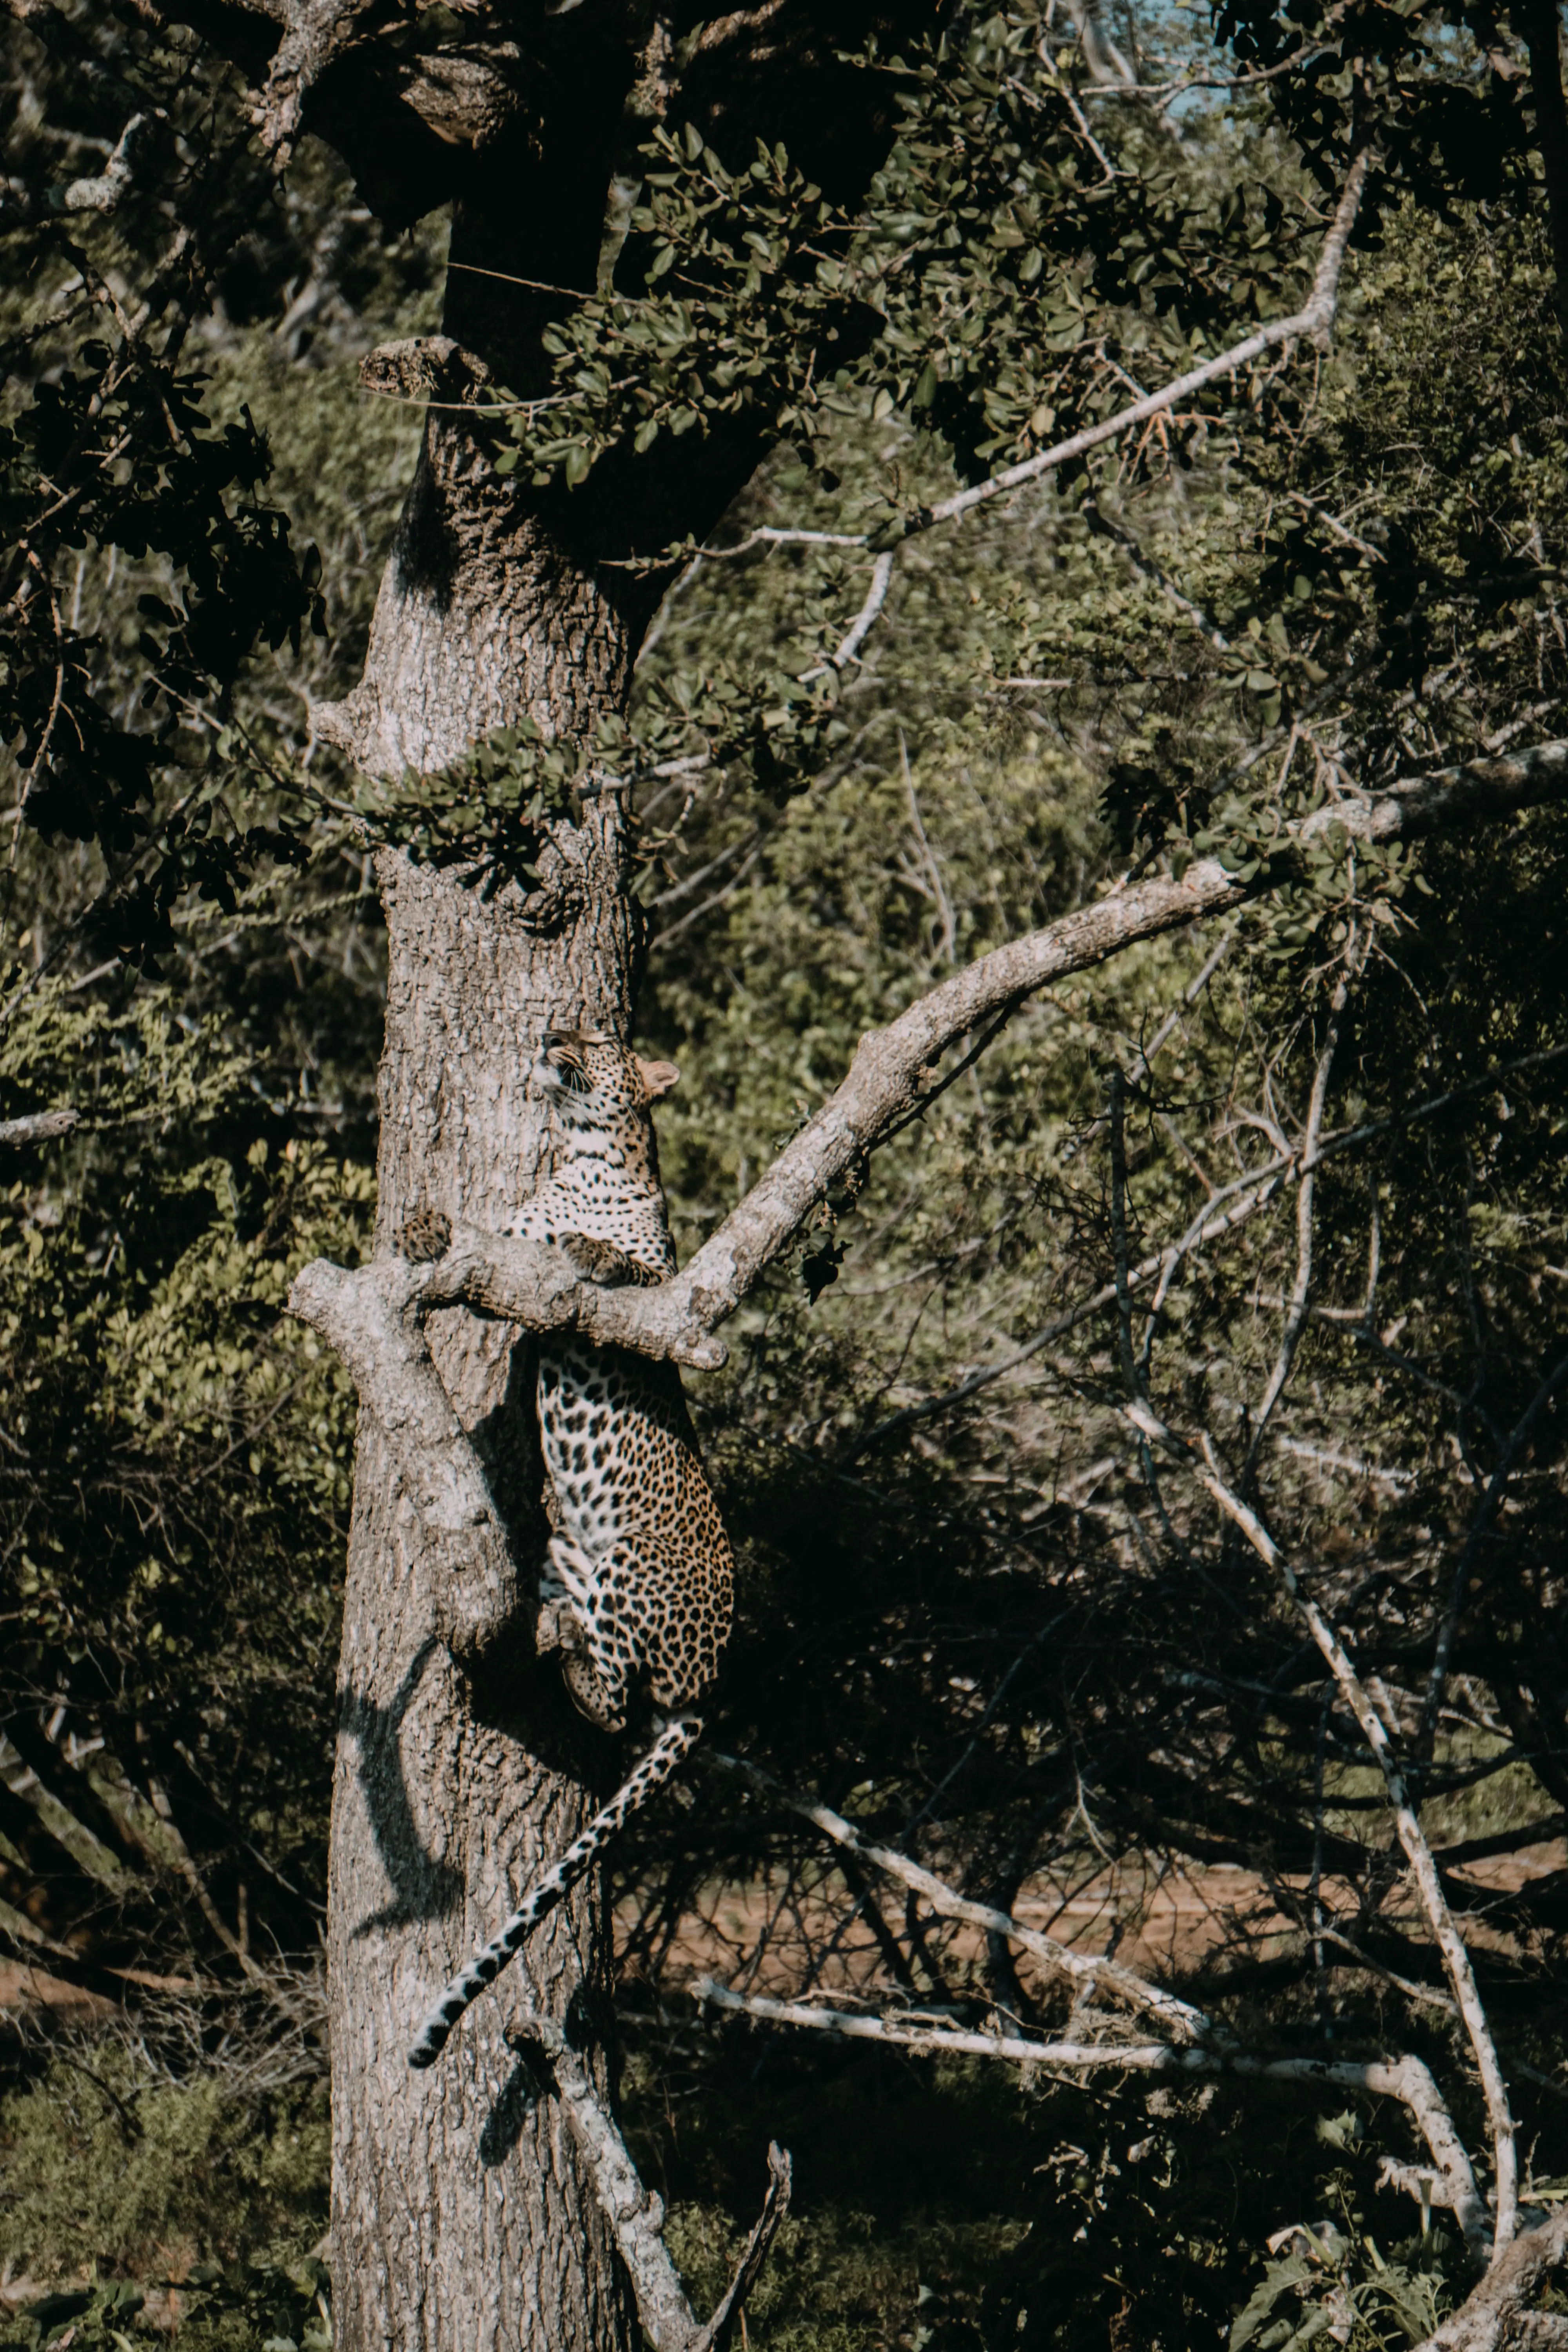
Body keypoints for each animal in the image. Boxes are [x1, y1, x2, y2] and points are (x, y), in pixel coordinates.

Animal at [407, 1028, 734, 2068]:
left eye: (600, 1040)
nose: (553, 1034)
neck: (580, 1158)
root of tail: (712, 1685)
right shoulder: (512, 1236)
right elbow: (493, 1240)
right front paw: (426, 1226)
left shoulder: (662, 1293)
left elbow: (615, 1265)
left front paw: (591, 1247)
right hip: (568, 1557)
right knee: (604, 1680)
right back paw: (556, 1638)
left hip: (632, 1564)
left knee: (624, 1698)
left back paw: (571, 1662)